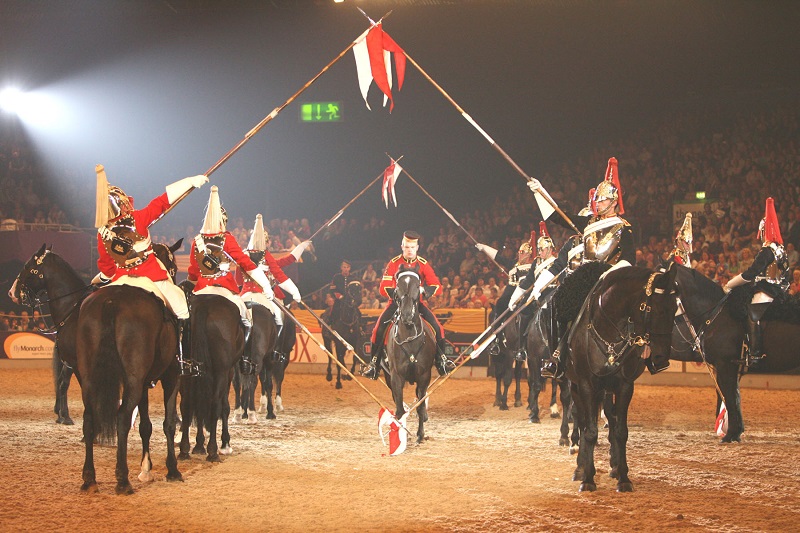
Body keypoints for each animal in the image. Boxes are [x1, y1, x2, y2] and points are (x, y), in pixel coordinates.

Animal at [382, 264, 434, 442]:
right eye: (398, 286)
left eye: (418, 286)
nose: (406, 314)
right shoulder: (396, 376)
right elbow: (399, 410)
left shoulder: (424, 376)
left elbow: (420, 406)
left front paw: (420, 434)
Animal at [564, 264, 680, 492]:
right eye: (656, 309)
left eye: (674, 309)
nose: (661, 358)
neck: (608, 335)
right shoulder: (587, 386)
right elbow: (589, 431)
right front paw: (588, 478)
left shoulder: (625, 386)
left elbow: (620, 431)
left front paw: (623, 477)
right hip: (576, 386)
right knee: (581, 422)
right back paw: (580, 468)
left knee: (609, 419)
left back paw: (613, 466)